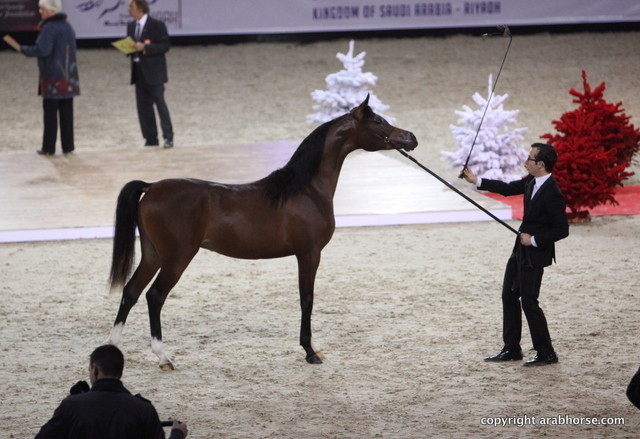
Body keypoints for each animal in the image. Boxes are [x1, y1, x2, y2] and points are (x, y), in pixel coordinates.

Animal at [107, 96, 418, 370]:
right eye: (377, 121)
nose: (411, 138)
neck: (306, 190)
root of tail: (151, 187)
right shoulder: (309, 254)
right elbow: (307, 299)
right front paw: (310, 351)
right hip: (177, 258)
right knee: (154, 296)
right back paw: (164, 357)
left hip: (153, 255)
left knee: (131, 292)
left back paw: (113, 349)